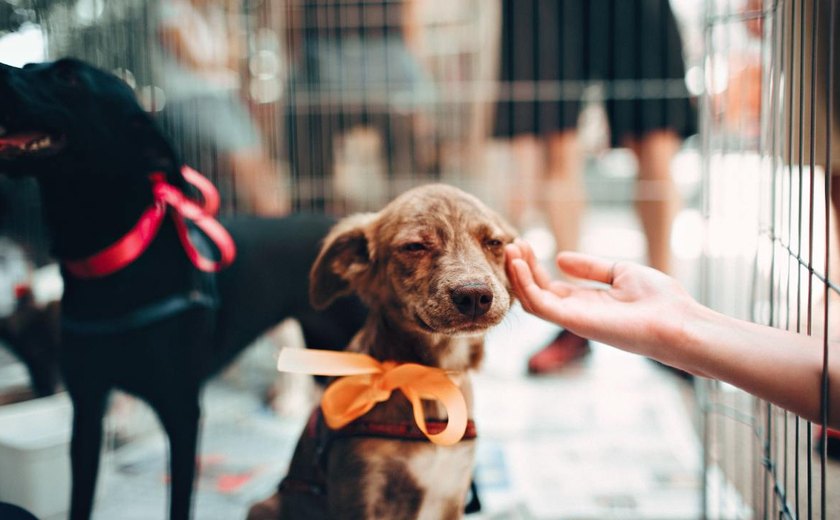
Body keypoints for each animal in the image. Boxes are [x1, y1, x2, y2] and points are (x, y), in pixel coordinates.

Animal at [0, 59, 364, 516]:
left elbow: (179, 502)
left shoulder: (182, 412)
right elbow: (80, 498)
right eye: (31, 66)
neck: (115, 261)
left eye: (68, 75)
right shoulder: (86, 409)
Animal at [249, 185, 516, 520]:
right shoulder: (361, 491)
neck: (428, 379)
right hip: (265, 506)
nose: (475, 296)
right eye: (414, 246)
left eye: (494, 243)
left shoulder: (451, 494)